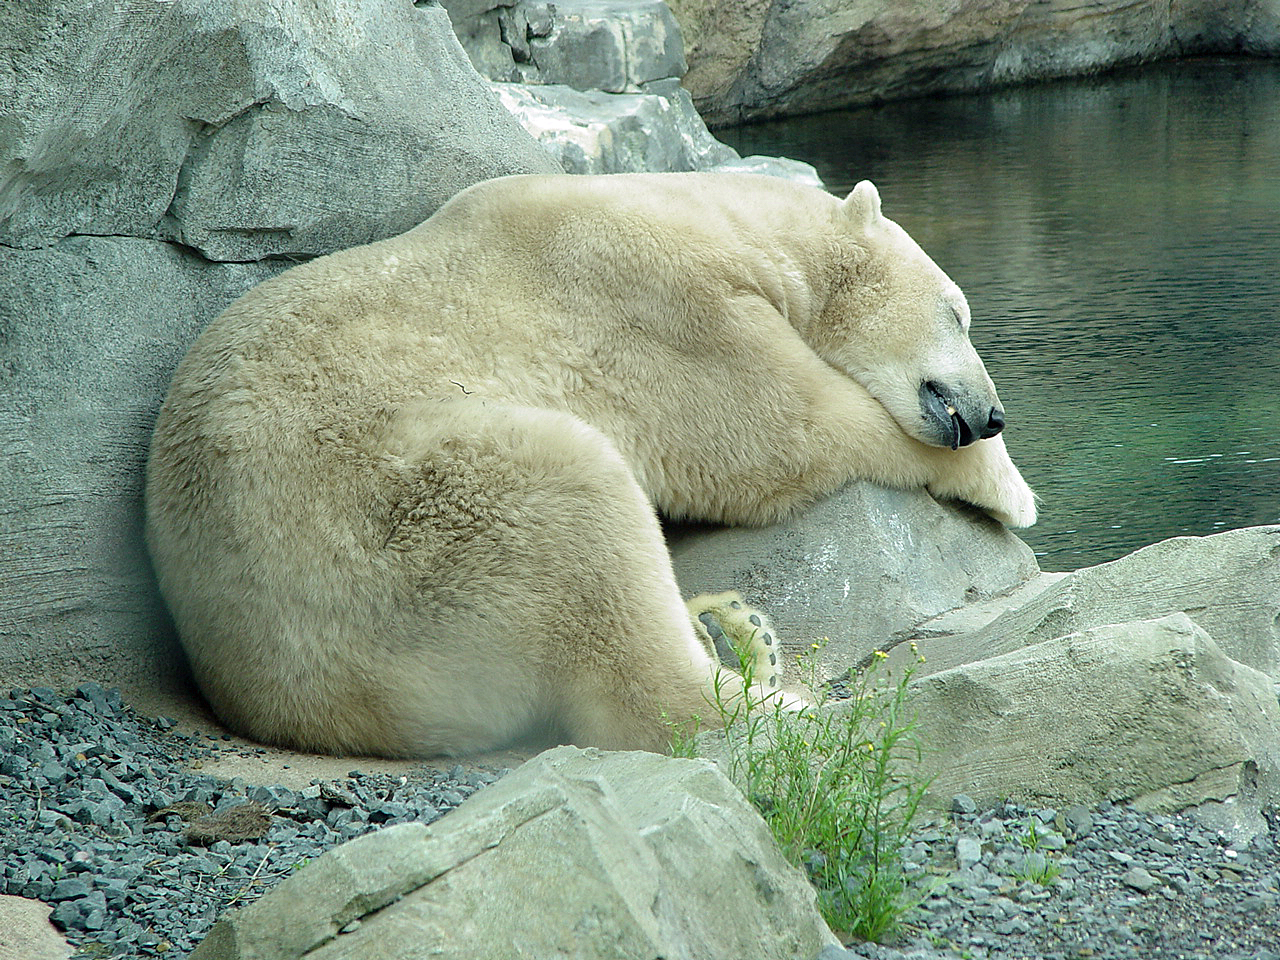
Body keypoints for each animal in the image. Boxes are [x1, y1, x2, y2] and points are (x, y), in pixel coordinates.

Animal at [145, 172, 1034, 757]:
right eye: (958, 312)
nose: (991, 412)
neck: (717, 217)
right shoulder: (658, 301)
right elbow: (780, 428)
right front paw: (1010, 489)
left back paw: (733, 625)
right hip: (397, 532)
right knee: (583, 520)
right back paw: (778, 689)